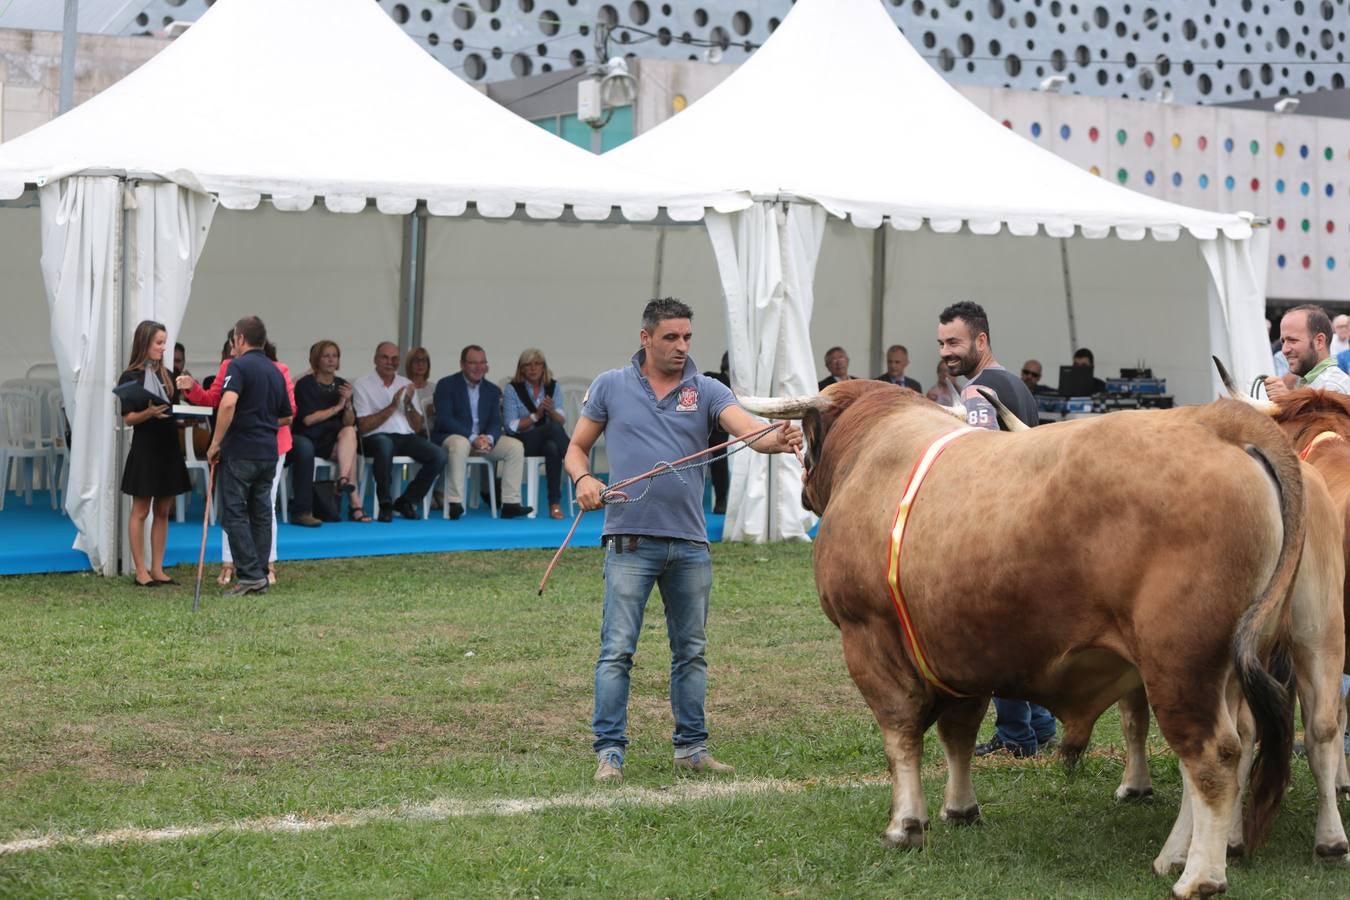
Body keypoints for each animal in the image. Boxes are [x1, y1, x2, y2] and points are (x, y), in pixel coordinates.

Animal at [745, 383, 1312, 900]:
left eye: (805, 438)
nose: (802, 487)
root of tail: (1214, 421)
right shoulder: (958, 652)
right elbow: (958, 735)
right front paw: (960, 808)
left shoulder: (868, 638)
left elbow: (900, 734)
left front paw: (904, 825)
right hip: (1230, 669)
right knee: (1234, 746)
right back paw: (1174, 855)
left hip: (1181, 664)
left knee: (1212, 756)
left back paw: (1199, 876)